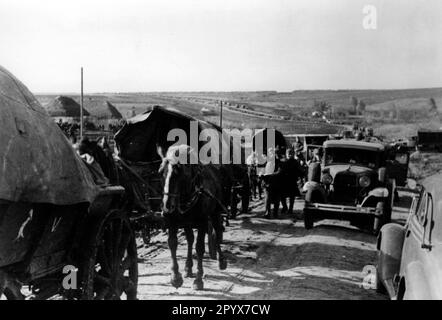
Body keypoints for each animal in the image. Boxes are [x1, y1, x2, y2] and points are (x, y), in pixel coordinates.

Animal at [156, 145, 226, 290]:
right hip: (187, 221)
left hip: (215, 212)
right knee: (190, 239)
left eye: (179, 174)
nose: (166, 206)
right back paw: (188, 268)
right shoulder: (172, 221)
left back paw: (221, 260)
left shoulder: (202, 221)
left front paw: (198, 279)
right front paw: (175, 277)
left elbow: (200, 247)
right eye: (160, 173)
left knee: (217, 230)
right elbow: (172, 243)